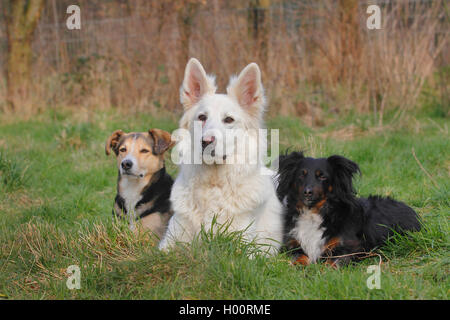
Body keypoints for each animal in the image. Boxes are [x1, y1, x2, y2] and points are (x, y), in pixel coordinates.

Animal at [158, 58, 284, 255]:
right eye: (202, 117)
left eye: (229, 120)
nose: (206, 141)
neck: (214, 185)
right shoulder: (169, 242)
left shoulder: (245, 248)